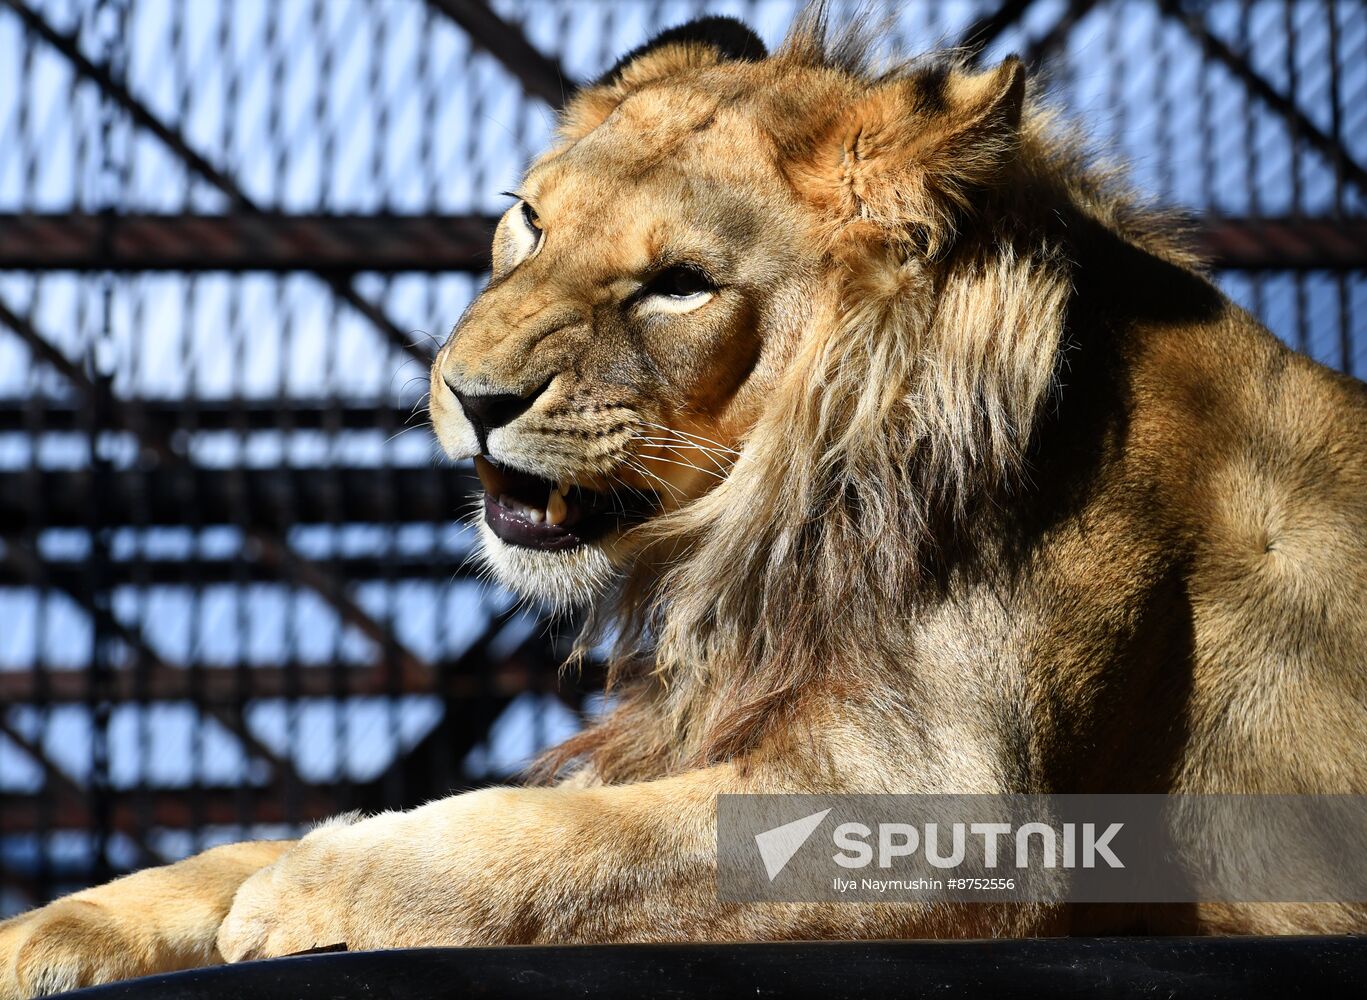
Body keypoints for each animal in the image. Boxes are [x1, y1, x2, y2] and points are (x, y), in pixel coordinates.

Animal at [4, 9, 1367, 997]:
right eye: (528, 222)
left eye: (676, 285)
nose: (469, 393)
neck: (784, 516)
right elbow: (262, 842)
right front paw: (59, 926)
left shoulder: (958, 804)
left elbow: (568, 842)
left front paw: (315, 891)